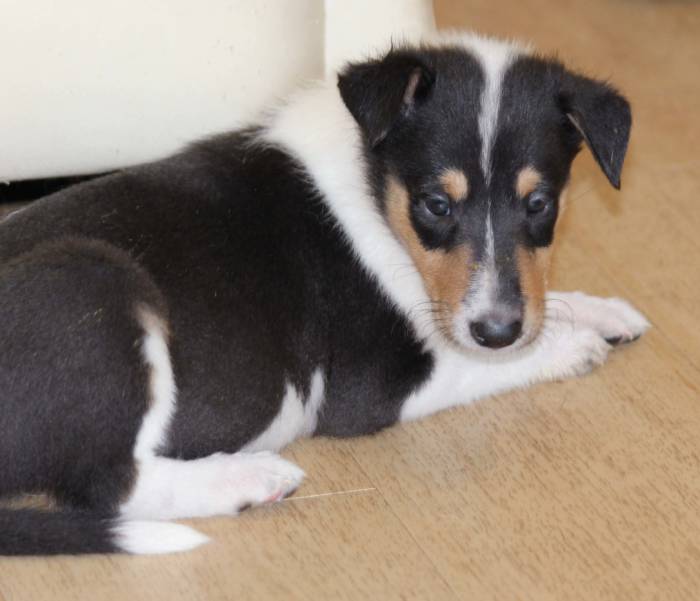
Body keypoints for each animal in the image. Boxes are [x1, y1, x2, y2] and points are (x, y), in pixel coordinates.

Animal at [0, 32, 649, 555]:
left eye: (538, 203)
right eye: (436, 205)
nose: (497, 329)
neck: (374, 188)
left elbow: (544, 302)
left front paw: (602, 311)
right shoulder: (372, 385)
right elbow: (475, 363)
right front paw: (570, 346)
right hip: (94, 281)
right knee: (109, 485)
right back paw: (247, 478)